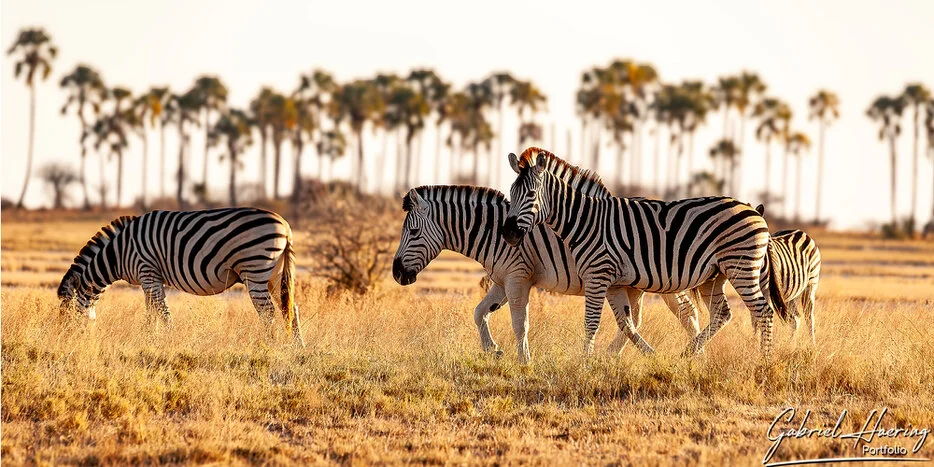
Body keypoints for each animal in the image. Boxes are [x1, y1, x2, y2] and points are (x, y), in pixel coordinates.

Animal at [57, 208, 304, 346]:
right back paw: (295, 347)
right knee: (290, 308)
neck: (118, 253)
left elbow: (162, 311)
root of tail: (285, 225)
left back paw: (268, 346)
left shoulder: (147, 271)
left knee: (268, 312)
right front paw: (149, 339)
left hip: (256, 269)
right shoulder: (149, 279)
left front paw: (168, 340)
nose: (63, 340)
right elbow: (151, 312)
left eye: (65, 314)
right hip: (275, 274)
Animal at [392, 185, 702, 364]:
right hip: (636, 284)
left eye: (414, 232)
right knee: (639, 319)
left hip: (662, 279)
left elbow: (520, 323)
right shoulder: (502, 280)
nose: (396, 274)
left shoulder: (518, 277)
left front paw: (524, 361)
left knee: (685, 313)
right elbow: (480, 312)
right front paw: (493, 350)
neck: (492, 233)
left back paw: (693, 354)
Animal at [501, 148, 788, 359]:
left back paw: (764, 361)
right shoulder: (614, 283)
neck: (585, 221)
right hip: (715, 275)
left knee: (763, 311)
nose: (508, 233)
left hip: (742, 267)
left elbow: (591, 322)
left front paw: (584, 363)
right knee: (723, 313)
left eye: (530, 193)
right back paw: (689, 352)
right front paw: (608, 358)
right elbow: (625, 323)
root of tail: (755, 212)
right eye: (510, 193)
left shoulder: (597, 275)